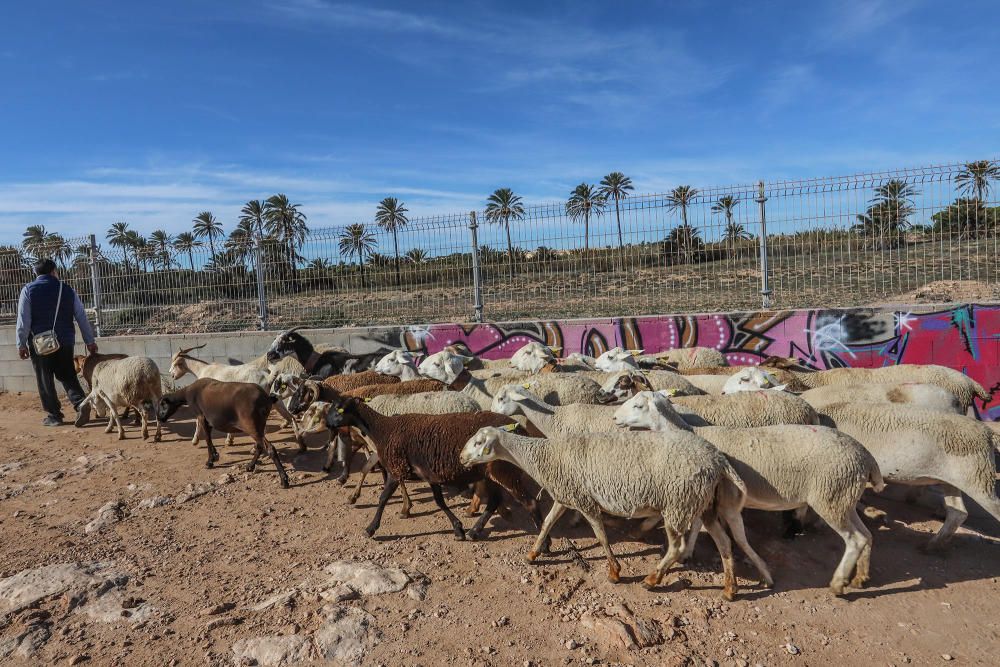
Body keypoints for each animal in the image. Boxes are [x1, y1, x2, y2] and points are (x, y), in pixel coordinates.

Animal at [460, 426, 756, 604]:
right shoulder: (565, 495)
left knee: (676, 547)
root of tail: (717, 459)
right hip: (703, 505)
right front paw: (533, 554)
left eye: (479, 442)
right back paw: (730, 588)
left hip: (678, 503)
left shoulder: (584, 500)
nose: (462, 458)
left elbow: (601, 535)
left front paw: (615, 571)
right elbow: (546, 524)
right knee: (724, 543)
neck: (546, 456)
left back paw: (652, 579)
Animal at [608, 392, 884, 596]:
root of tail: (867, 457)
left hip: (830, 496)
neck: (692, 433)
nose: (614, 417)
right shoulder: (706, 495)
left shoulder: (717, 495)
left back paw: (838, 584)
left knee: (855, 540)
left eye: (638, 405)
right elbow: (697, 525)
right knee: (867, 535)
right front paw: (687, 553)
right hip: (844, 498)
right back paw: (860, 578)